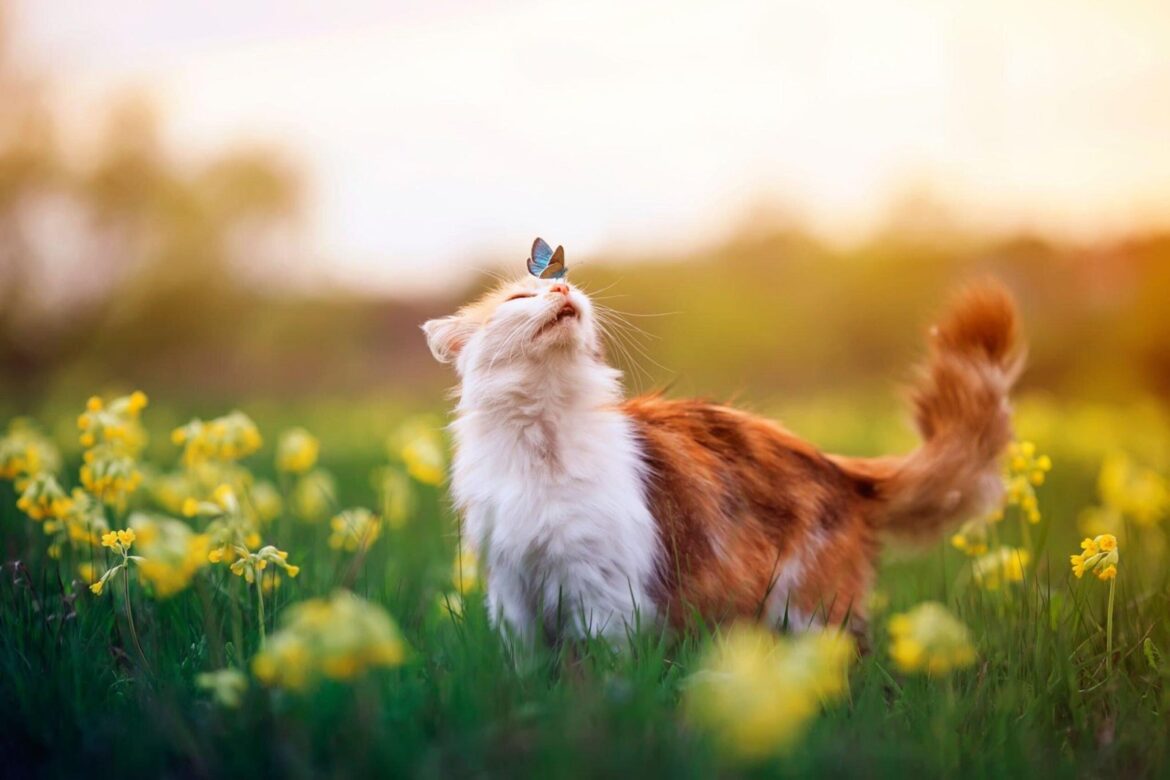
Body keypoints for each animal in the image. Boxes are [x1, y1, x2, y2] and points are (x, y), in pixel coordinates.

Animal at [425, 271, 1020, 645]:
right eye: (517, 300)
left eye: (562, 281)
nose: (563, 285)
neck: (541, 436)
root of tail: (836, 464)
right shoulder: (513, 592)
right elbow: (527, 673)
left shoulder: (604, 592)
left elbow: (600, 678)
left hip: (805, 608)